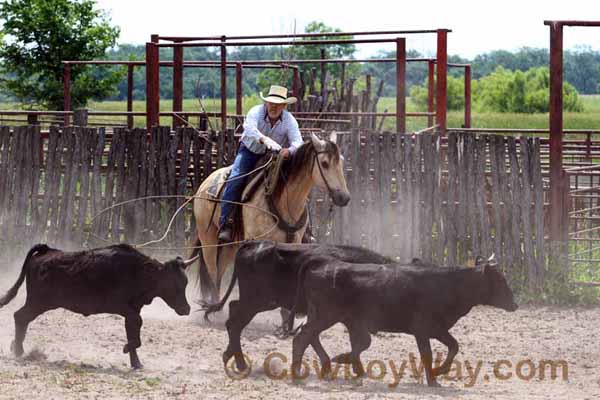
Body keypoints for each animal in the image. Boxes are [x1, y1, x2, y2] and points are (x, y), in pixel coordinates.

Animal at [0, 242, 191, 370]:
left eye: (186, 283)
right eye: (174, 285)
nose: (186, 309)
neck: (139, 272)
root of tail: (46, 251)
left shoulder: (132, 311)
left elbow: (133, 331)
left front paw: (136, 363)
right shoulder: (122, 307)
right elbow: (136, 329)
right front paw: (127, 349)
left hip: (37, 303)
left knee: (22, 318)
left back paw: (15, 346)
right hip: (39, 302)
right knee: (20, 316)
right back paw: (18, 350)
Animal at [191, 133, 352, 302]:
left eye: (341, 161)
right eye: (325, 163)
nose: (344, 197)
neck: (284, 202)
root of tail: (204, 185)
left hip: (231, 245)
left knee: (218, 275)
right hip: (208, 240)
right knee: (212, 273)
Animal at [200, 238, 422, 372]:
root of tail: (255, 243)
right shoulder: (347, 317)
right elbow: (360, 342)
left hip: (255, 302)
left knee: (233, 312)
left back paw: (230, 355)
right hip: (257, 301)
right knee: (235, 322)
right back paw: (239, 363)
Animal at [288, 258, 516, 386]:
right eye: (500, 280)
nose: (515, 304)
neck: (449, 285)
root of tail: (324, 264)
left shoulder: (438, 328)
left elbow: (454, 346)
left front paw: (439, 371)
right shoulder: (422, 329)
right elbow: (427, 353)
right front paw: (433, 380)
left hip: (322, 315)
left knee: (312, 336)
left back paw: (330, 366)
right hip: (326, 315)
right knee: (303, 337)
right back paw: (298, 374)